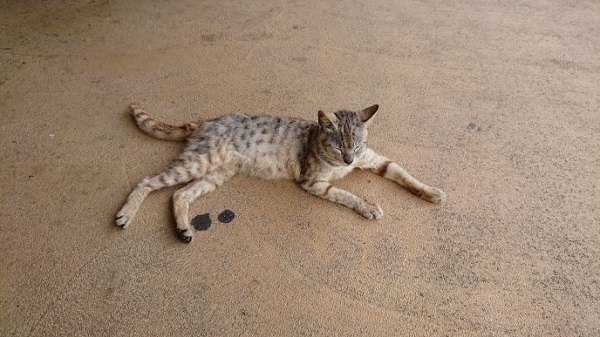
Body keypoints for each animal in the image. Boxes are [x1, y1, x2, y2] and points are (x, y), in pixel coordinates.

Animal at [117, 102, 446, 242]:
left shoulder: (374, 159)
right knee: (148, 182)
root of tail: (205, 122)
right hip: (200, 162)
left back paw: (184, 229)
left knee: (180, 195)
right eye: (338, 147)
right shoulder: (314, 182)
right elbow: (347, 194)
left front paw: (431, 192)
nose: (349, 161)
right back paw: (125, 214)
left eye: (357, 144)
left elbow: (404, 175)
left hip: (216, 174)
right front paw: (368, 206)